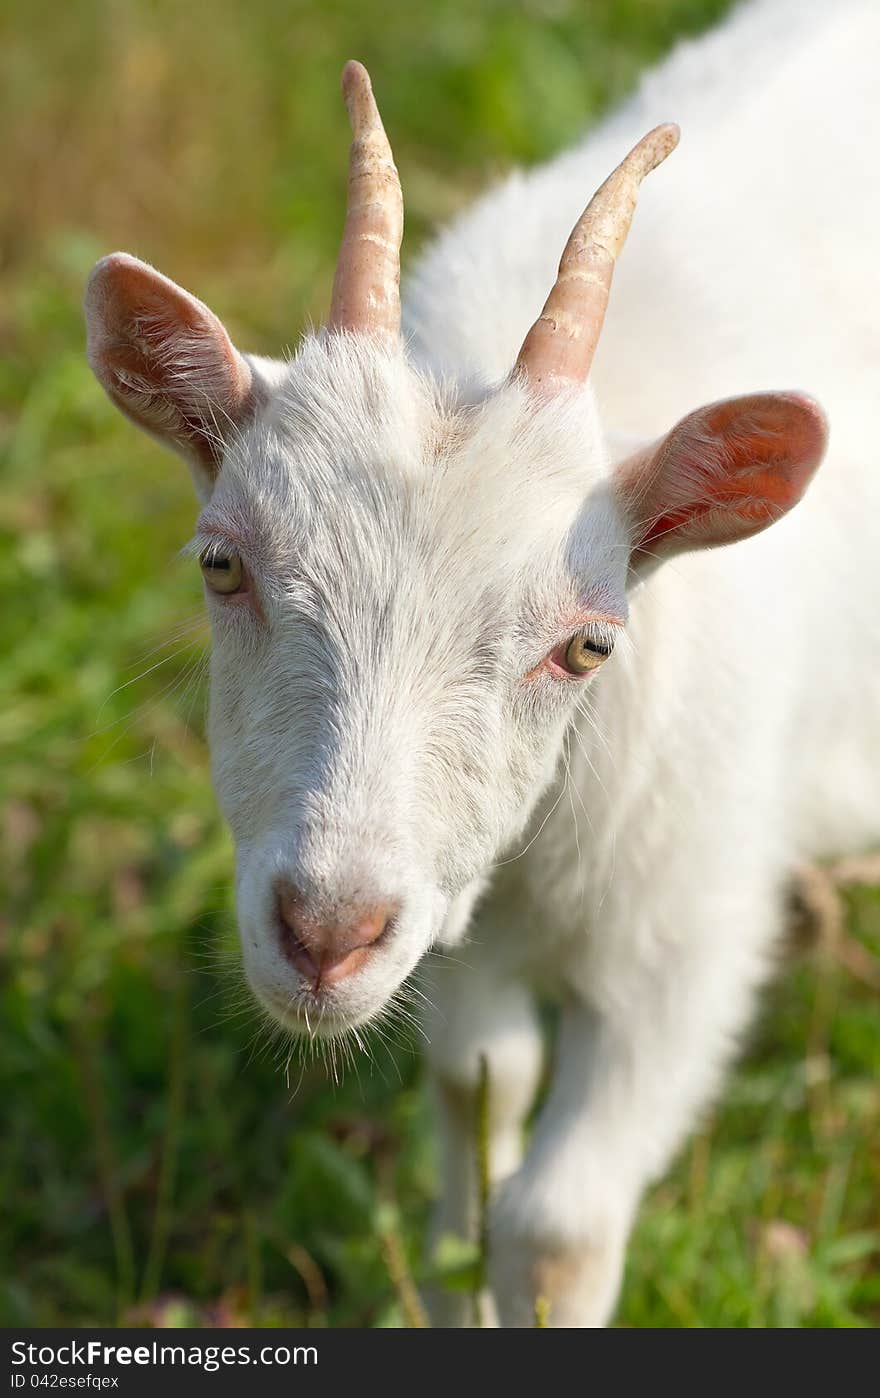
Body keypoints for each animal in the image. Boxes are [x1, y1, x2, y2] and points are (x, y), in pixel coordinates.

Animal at [83, 0, 878, 1325]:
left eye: (587, 644)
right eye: (221, 564)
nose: (326, 932)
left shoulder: (685, 938)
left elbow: (555, 1224)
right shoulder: (454, 906)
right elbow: (475, 1089)